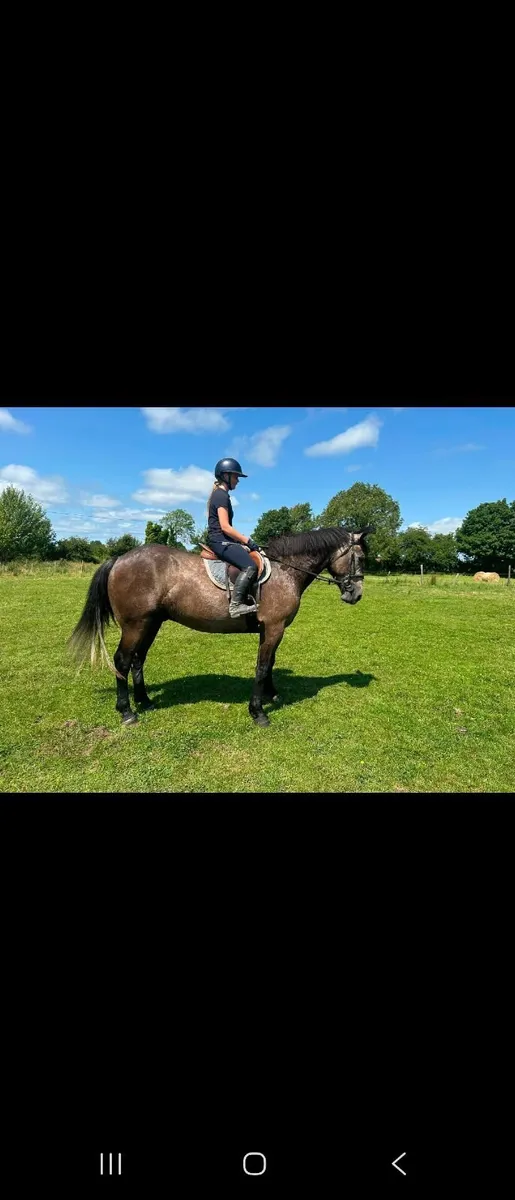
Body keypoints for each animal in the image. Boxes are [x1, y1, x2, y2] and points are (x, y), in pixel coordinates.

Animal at [68, 525, 372, 729]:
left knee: (137, 659)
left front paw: (272, 694)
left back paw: (145, 700)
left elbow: (270, 664)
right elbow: (262, 667)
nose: (356, 594)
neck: (285, 570)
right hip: (135, 625)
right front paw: (258, 712)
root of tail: (119, 559)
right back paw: (127, 712)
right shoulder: (275, 627)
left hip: (150, 624)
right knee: (122, 660)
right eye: (360, 558)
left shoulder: (271, 629)